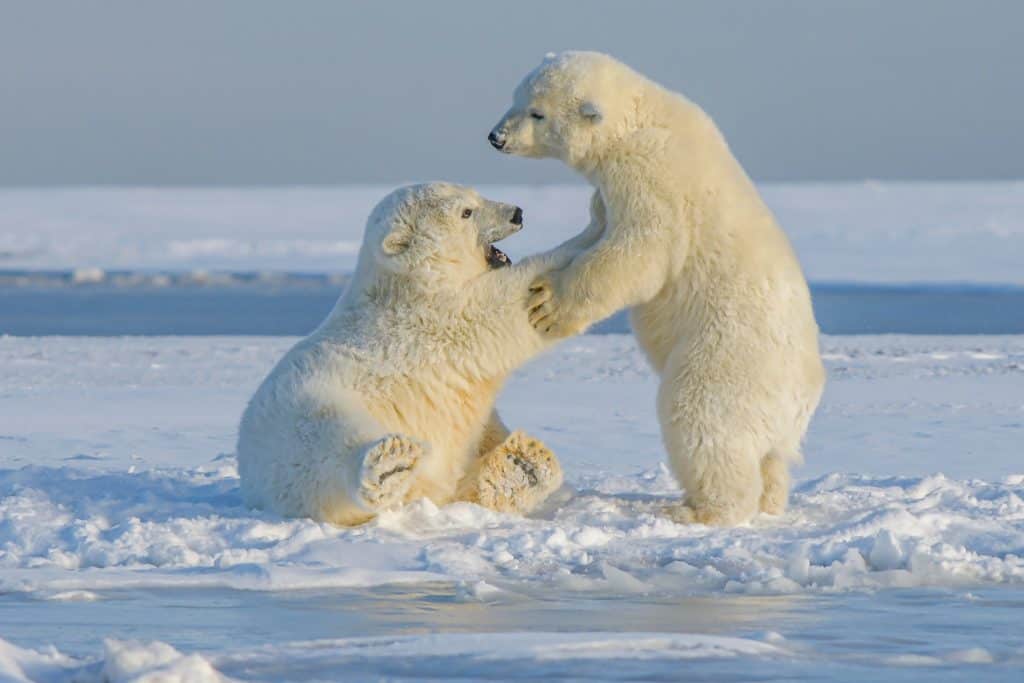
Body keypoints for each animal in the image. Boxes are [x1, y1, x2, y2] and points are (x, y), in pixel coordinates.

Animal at [237, 183, 568, 526]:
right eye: (466, 212)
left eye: (477, 195)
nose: (517, 213)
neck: (406, 282)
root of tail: (250, 476)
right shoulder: (432, 318)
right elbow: (496, 309)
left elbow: (481, 426)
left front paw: (520, 462)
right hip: (304, 413)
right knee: (328, 442)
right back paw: (388, 466)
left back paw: (523, 462)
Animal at [488, 51, 826, 526]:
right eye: (517, 98)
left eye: (537, 113)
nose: (496, 137)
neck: (642, 116)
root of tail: (802, 397)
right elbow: (601, 227)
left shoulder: (650, 176)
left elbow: (639, 251)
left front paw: (548, 305)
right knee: (772, 458)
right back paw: (769, 502)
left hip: (727, 358)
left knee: (700, 420)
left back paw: (698, 510)